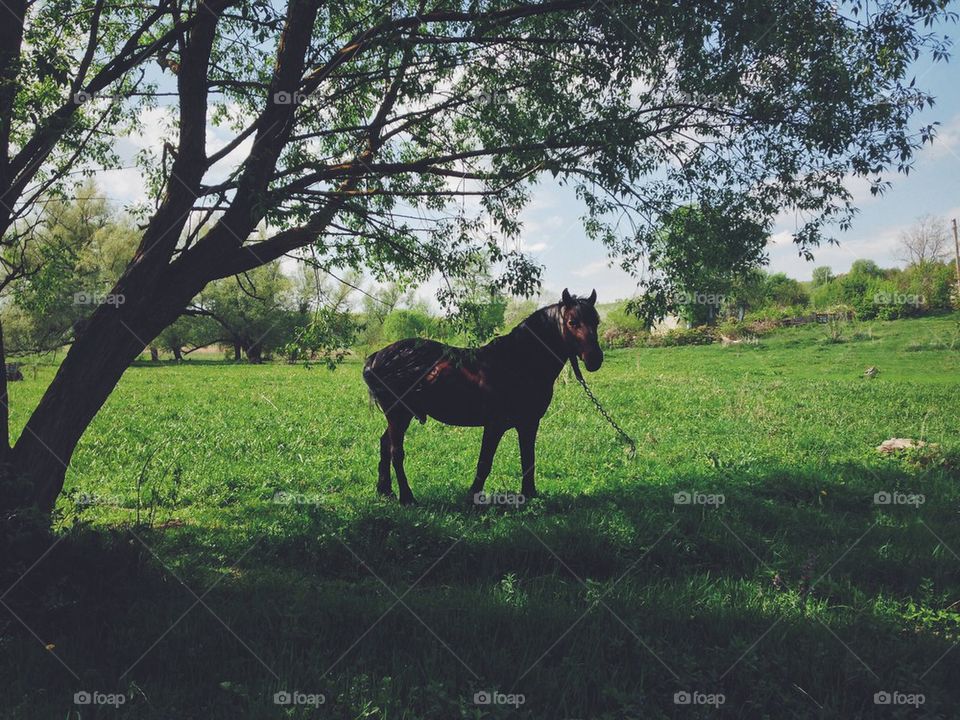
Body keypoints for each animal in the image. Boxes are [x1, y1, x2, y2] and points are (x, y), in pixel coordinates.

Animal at [364, 290, 604, 504]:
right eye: (572, 322)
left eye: (597, 322)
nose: (595, 359)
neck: (517, 362)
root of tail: (377, 357)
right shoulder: (495, 425)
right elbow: (485, 463)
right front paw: (472, 496)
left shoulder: (529, 423)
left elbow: (528, 459)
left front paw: (530, 494)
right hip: (398, 415)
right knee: (396, 452)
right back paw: (407, 498)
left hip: (399, 417)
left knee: (385, 444)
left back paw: (385, 490)